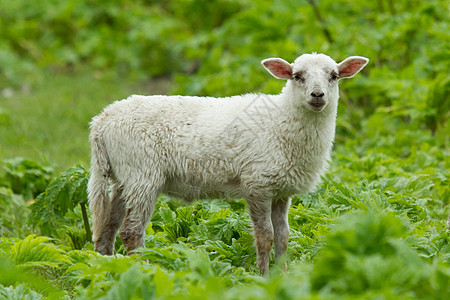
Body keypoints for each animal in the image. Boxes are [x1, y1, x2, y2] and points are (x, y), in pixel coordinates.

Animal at [88, 52, 370, 276]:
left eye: (334, 76)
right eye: (297, 76)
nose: (317, 95)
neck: (281, 120)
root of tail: (102, 121)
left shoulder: (281, 190)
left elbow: (283, 237)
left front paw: (284, 276)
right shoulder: (257, 183)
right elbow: (265, 236)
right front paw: (263, 277)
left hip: (124, 177)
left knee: (108, 227)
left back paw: (105, 269)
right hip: (142, 173)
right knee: (131, 231)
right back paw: (143, 269)